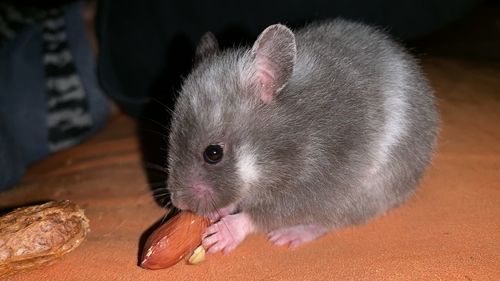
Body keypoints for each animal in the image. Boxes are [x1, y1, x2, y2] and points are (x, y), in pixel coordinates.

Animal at [165, 18, 438, 253]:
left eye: (213, 153)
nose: (179, 203)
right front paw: (217, 213)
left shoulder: (318, 181)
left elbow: (269, 213)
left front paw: (220, 234)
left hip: (366, 194)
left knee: (326, 222)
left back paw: (288, 236)